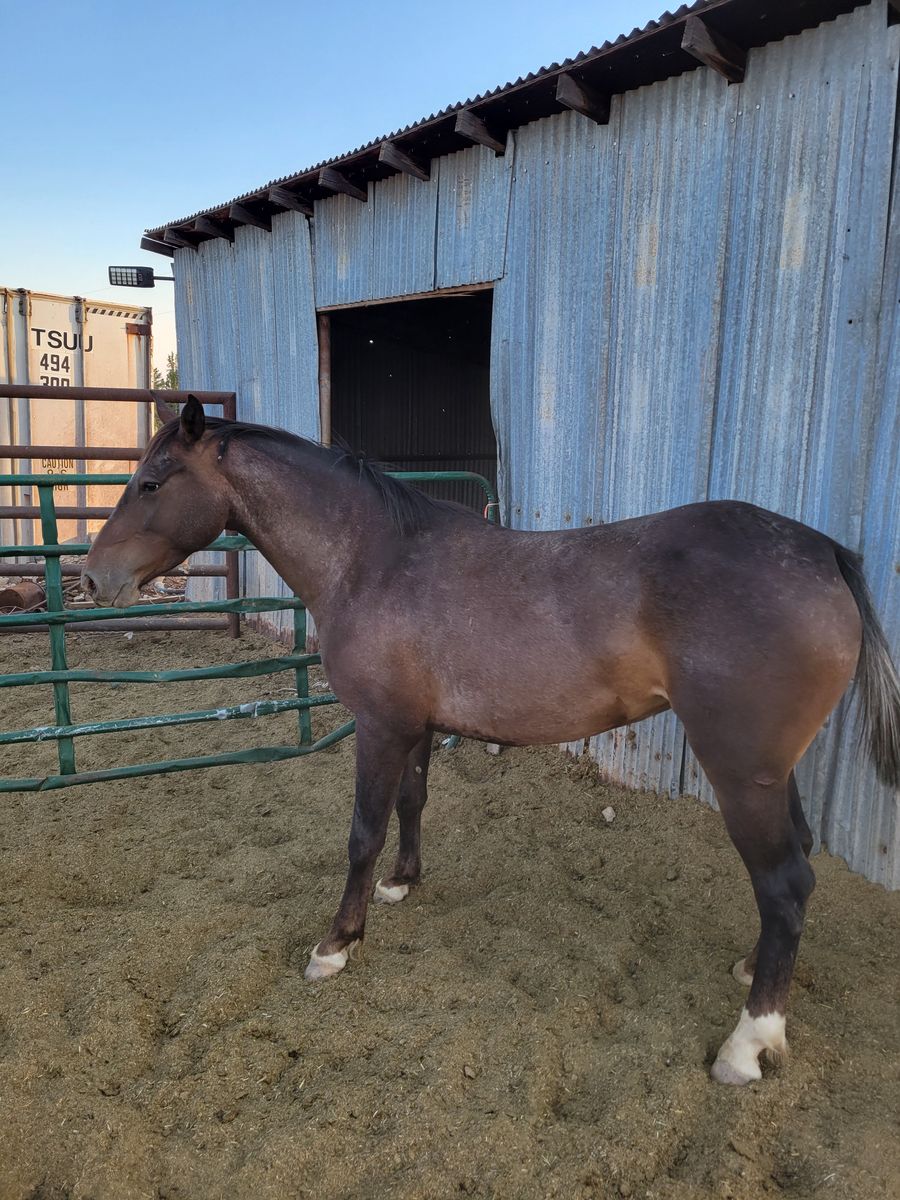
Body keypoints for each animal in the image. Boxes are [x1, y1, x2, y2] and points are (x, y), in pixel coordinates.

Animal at [82, 396, 900, 1086]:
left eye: (151, 482)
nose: (92, 579)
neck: (372, 560)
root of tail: (823, 552)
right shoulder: (413, 727)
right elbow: (410, 806)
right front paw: (403, 884)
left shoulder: (379, 726)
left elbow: (361, 833)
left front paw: (337, 944)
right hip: (771, 772)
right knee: (793, 871)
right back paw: (752, 972)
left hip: (741, 773)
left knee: (785, 884)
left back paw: (747, 1044)